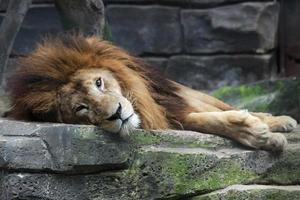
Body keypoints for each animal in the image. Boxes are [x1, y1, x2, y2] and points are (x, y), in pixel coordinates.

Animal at [5, 34, 298, 152]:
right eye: (81, 108)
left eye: (99, 83)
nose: (117, 114)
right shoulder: (170, 115)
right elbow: (205, 120)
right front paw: (258, 135)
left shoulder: (173, 100)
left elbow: (219, 112)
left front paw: (264, 128)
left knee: (222, 103)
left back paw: (282, 120)